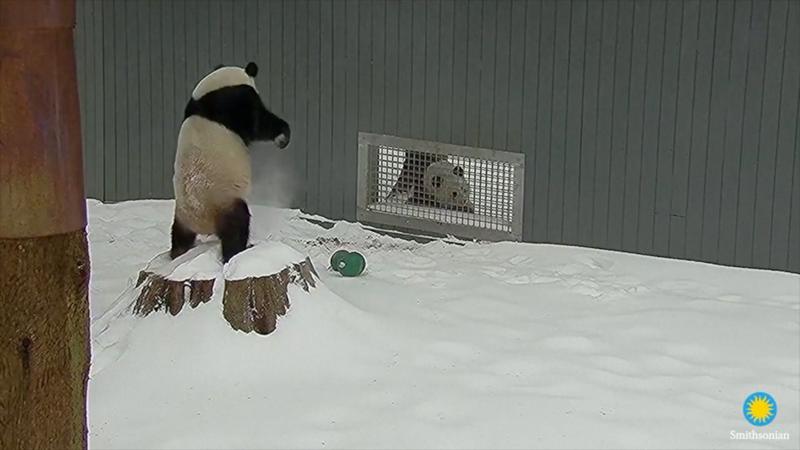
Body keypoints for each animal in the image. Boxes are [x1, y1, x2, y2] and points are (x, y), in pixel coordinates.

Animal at [170, 62, 291, 263]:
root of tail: (202, 223)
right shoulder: (238, 102)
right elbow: (259, 124)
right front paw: (282, 136)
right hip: (223, 200)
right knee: (236, 226)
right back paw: (237, 252)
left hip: (182, 214)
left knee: (179, 234)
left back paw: (177, 252)